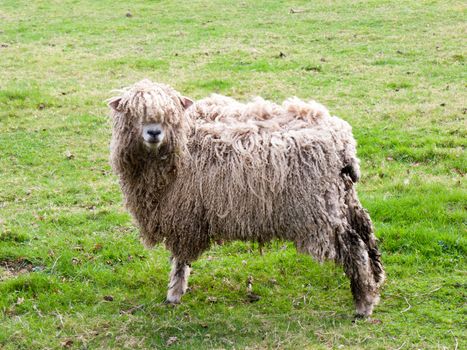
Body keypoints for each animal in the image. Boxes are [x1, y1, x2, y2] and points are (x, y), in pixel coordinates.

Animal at [108, 78, 386, 318]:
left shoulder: (184, 214)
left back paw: (364, 304)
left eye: (170, 115)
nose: (154, 132)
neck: (184, 142)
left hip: (317, 210)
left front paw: (174, 293)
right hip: (341, 197)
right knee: (365, 231)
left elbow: (180, 258)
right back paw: (376, 282)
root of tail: (344, 143)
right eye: (133, 113)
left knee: (354, 246)